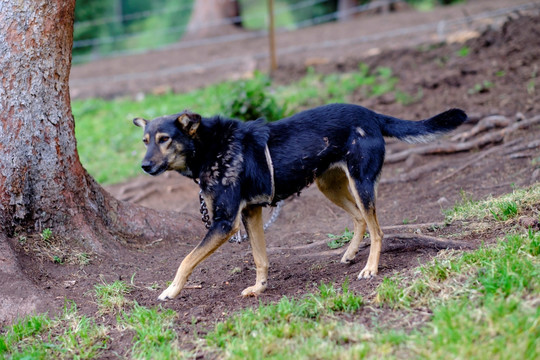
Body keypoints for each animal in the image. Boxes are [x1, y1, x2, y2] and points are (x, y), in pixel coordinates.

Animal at [133, 102, 466, 300]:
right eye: (145, 141)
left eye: (164, 139)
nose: (144, 166)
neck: (210, 147)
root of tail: (371, 114)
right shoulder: (251, 213)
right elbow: (260, 258)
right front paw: (259, 288)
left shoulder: (225, 223)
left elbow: (186, 260)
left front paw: (171, 290)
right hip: (329, 185)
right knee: (360, 218)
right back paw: (350, 254)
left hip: (361, 183)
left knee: (377, 230)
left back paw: (370, 268)